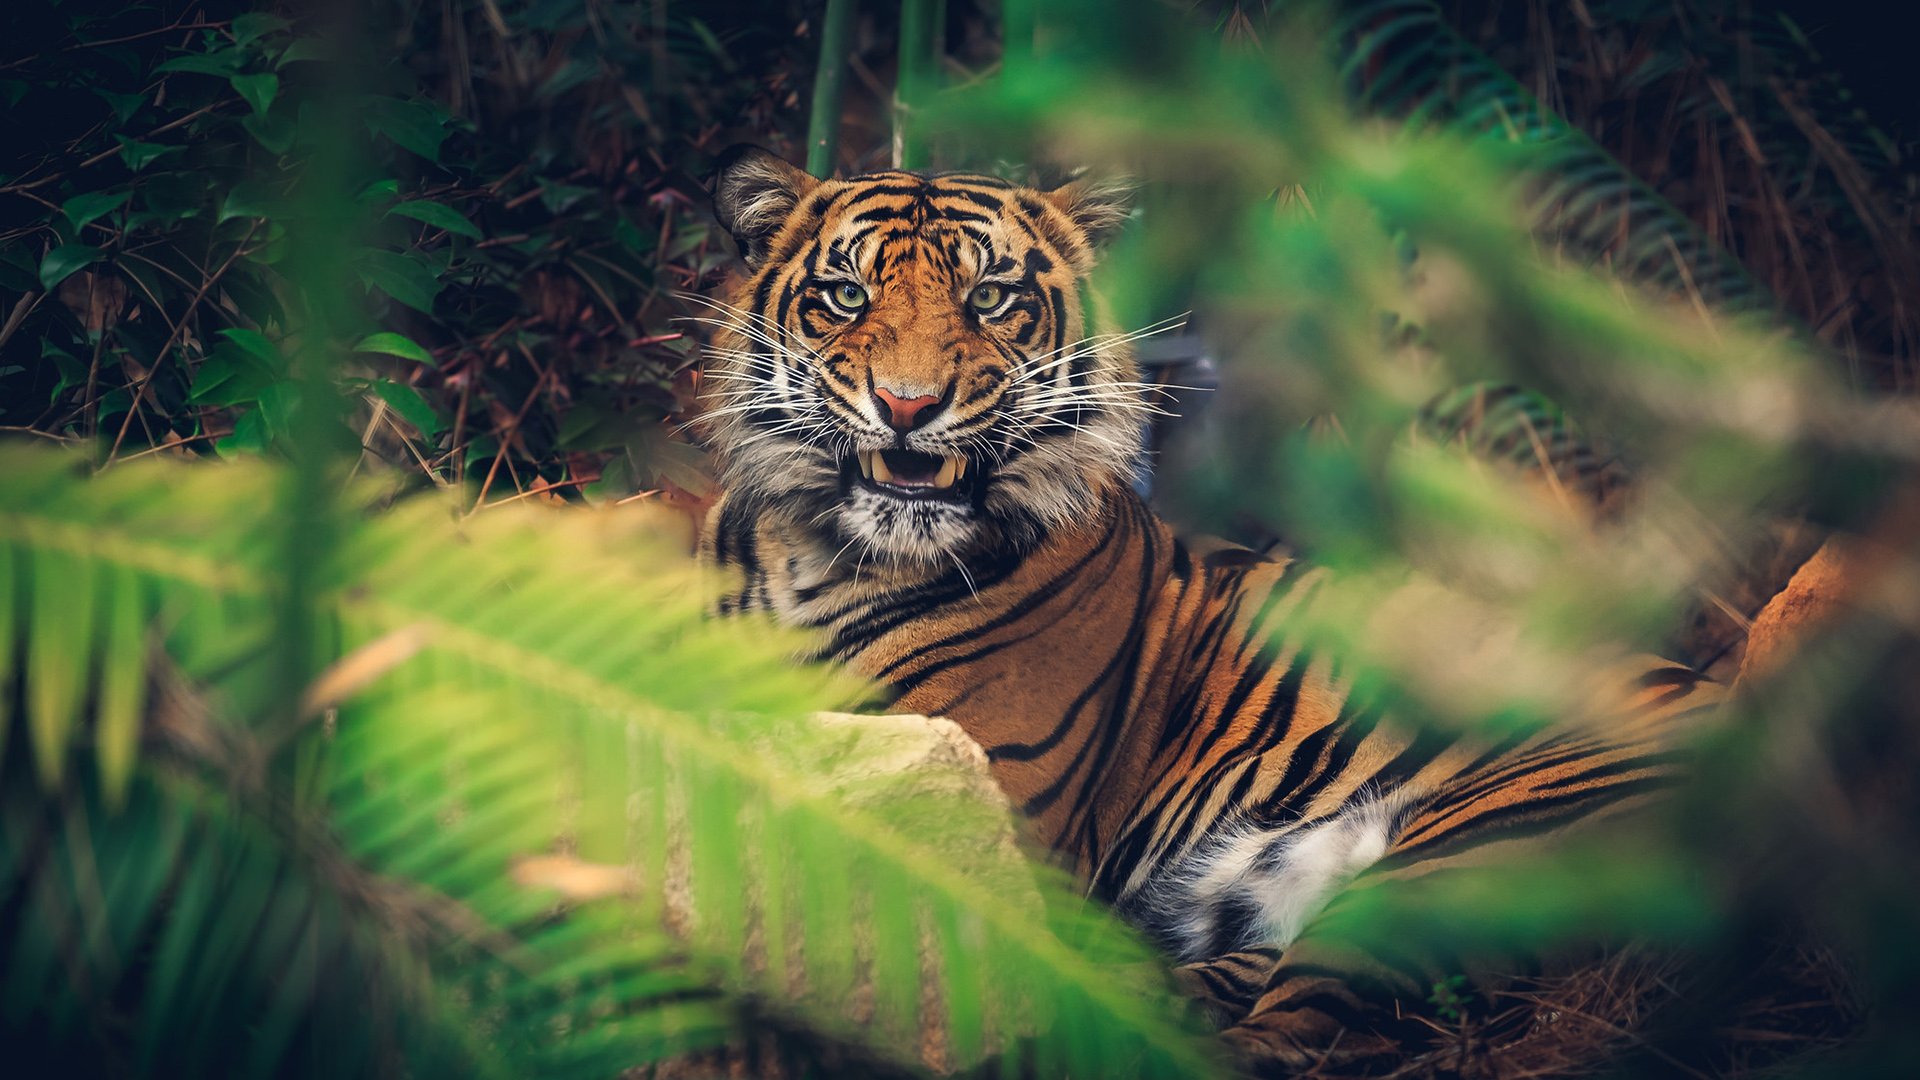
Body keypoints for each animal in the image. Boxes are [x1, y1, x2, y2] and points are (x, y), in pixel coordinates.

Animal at [695, 144, 1723, 1072]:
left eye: (989, 299)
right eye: (846, 296)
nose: (907, 406)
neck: (825, 556)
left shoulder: (985, 803)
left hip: (1456, 859)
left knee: (1301, 1041)